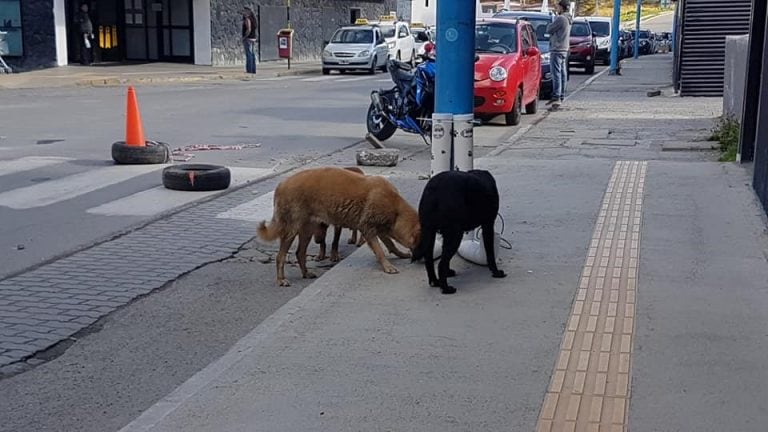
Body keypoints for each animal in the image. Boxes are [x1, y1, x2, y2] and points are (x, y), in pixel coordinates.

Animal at [258, 166, 420, 286]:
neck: (396, 209)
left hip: (307, 231)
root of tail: (281, 185)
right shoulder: (368, 229)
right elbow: (380, 251)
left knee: (300, 253)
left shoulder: (379, 230)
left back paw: (305, 273)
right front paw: (387, 266)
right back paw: (281, 279)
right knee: (280, 256)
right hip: (292, 230)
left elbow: (391, 245)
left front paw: (400, 254)